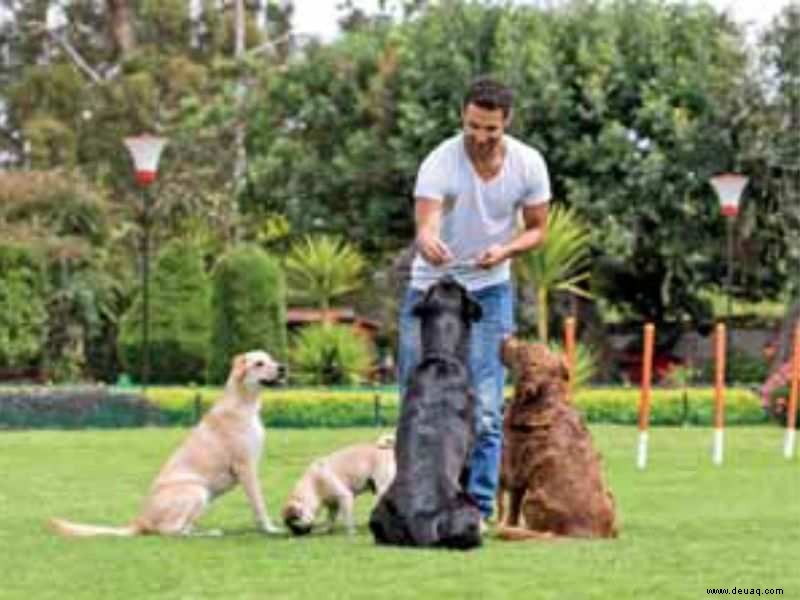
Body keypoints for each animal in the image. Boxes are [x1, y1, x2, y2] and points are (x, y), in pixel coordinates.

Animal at [48, 350, 286, 536]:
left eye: (272, 358)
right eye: (259, 363)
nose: (283, 367)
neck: (243, 404)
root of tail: (139, 520)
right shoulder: (246, 467)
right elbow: (259, 503)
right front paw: (269, 529)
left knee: (182, 528)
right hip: (197, 490)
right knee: (171, 531)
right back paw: (207, 533)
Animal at [368, 276, 482, 548]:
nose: (448, 275)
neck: (442, 358)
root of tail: (420, 517)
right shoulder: (469, 455)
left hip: (378, 512)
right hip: (467, 508)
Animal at [494, 340, 620, 540]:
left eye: (522, 349)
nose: (504, 339)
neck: (544, 400)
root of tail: (579, 533)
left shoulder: (515, 474)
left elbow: (512, 508)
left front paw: (507, 525)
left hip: (533, 497)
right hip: (610, 496)